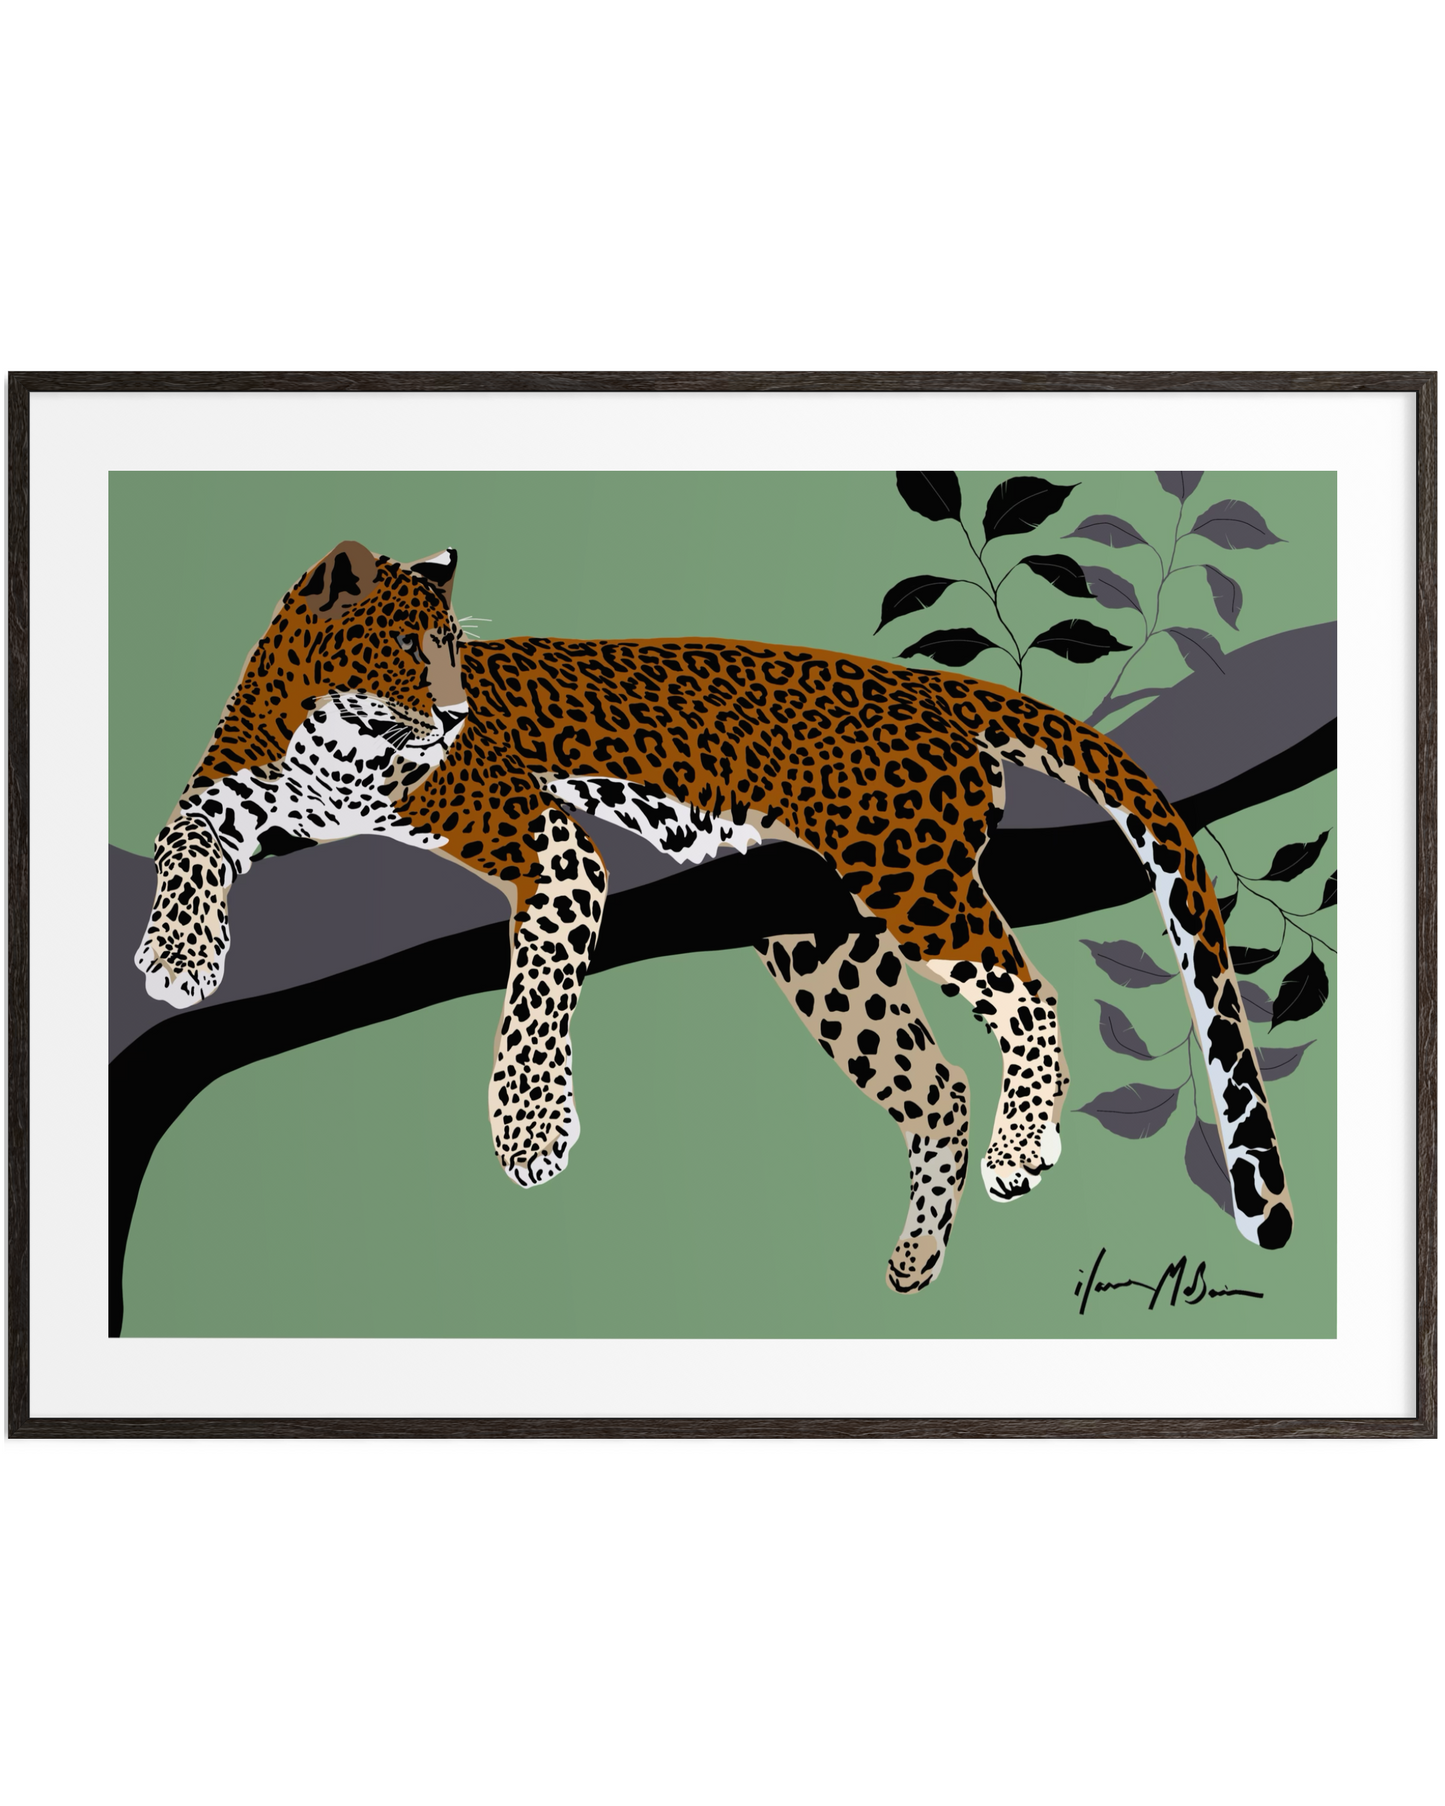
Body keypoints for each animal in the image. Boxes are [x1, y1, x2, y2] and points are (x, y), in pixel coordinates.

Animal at [135, 540, 1293, 1292]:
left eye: (458, 647)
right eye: (409, 647)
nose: (460, 713)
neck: (324, 749)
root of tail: (922, 685)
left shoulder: (548, 840)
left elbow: (536, 992)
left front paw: (530, 1129)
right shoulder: (237, 793)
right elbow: (184, 839)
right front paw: (176, 956)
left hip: (907, 877)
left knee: (1029, 994)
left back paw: (1020, 1146)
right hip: (822, 945)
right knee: (934, 1086)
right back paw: (919, 1251)